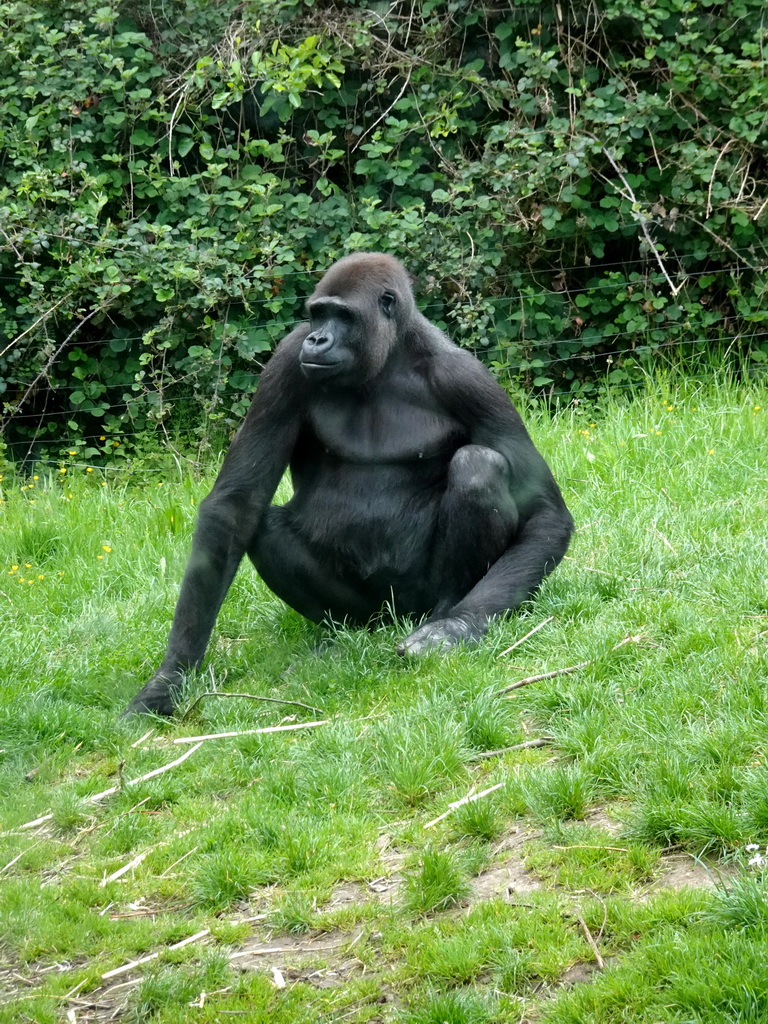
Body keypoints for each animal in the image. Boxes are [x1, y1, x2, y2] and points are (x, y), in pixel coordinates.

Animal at [126, 252, 573, 716]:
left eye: (342, 316)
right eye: (317, 314)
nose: (317, 340)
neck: (389, 357)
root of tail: (390, 619)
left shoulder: (469, 379)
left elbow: (543, 512)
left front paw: (456, 627)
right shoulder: (286, 362)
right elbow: (236, 505)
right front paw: (171, 676)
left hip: (417, 602)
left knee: (478, 468)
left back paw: (444, 609)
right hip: (369, 615)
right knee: (265, 526)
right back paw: (337, 637)